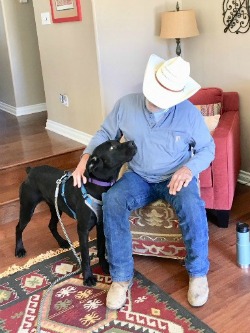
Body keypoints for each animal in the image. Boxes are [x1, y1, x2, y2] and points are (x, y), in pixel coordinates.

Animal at [15, 140, 137, 286]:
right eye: (113, 147)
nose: (133, 142)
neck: (97, 186)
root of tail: (31, 170)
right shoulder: (83, 230)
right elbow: (85, 256)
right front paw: (88, 277)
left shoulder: (101, 225)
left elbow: (101, 249)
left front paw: (105, 267)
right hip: (28, 208)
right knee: (18, 228)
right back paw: (19, 250)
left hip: (56, 208)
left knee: (51, 225)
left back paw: (62, 242)